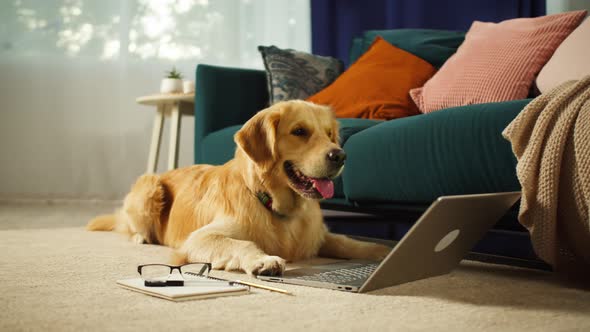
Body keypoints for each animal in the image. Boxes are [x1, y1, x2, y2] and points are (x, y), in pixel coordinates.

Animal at [88, 100, 390, 274]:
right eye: (299, 131)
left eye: (329, 135)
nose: (340, 156)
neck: (275, 205)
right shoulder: (199, 238)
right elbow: (242, 243)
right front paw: (263, 260)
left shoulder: (319, 236)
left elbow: (351, 243)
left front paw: (382, 252)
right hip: (150, 185)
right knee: (131, 226)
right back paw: (141, 237)